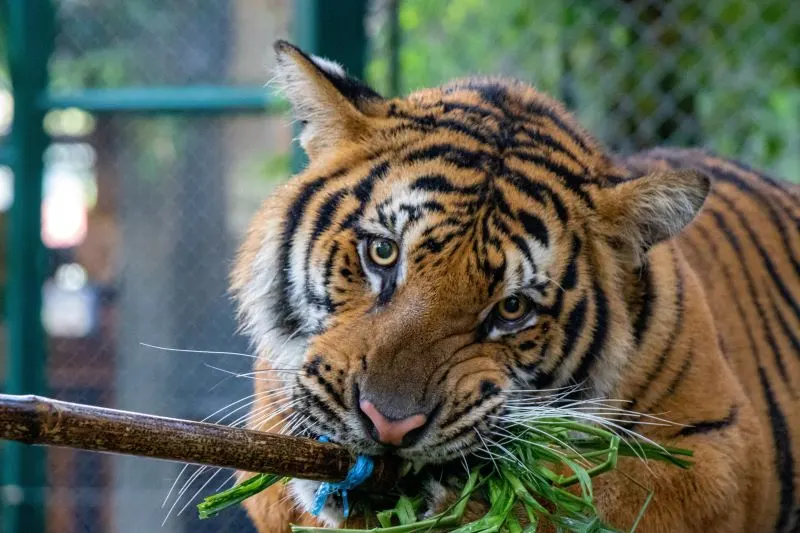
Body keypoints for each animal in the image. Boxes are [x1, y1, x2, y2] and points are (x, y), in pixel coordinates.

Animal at [230, 40, 800, 533]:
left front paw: (479, 503)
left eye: (511, 309)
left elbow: (599, 491)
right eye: (383, 252)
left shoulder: (722, 452)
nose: (388, 426)